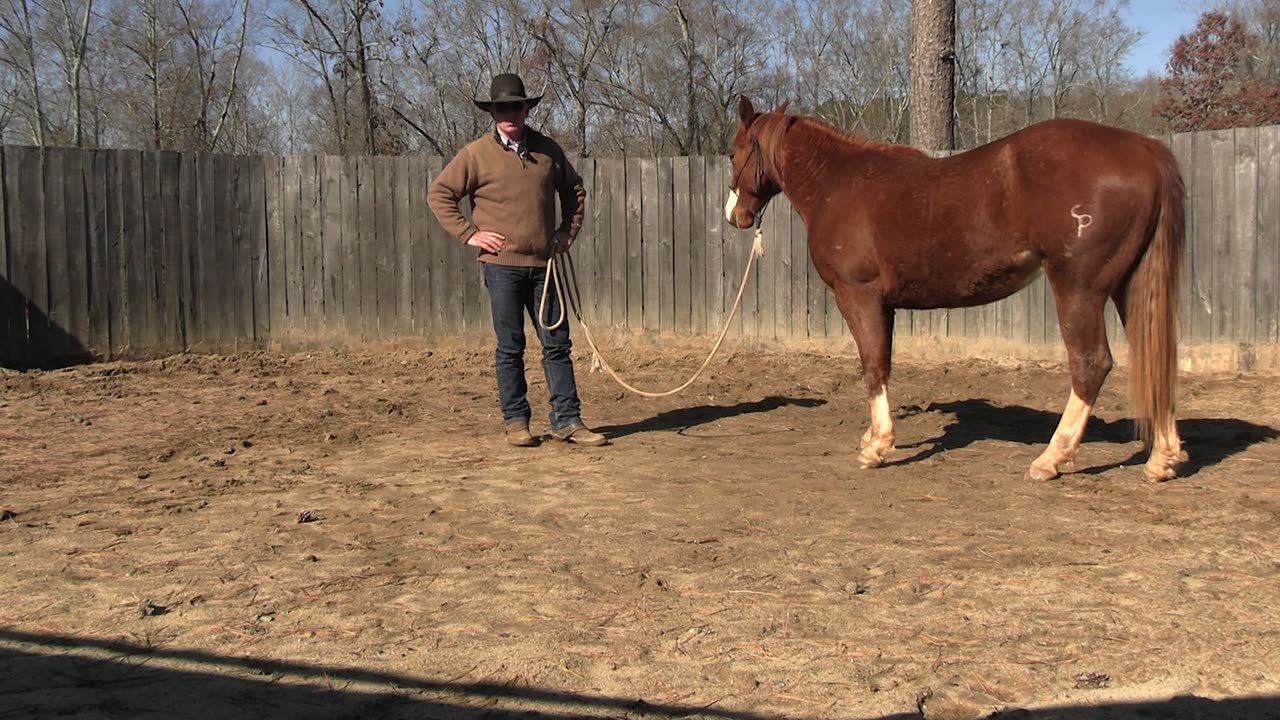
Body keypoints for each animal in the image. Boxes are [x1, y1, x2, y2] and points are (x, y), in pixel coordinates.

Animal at [727, 94, 1182, 476]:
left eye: (732, 152)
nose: (736, 215)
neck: (836, 181)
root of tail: (1145, 151)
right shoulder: (885, 305)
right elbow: (883, 363)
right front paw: (874, 437)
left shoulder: (858, 295)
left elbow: (872, 365)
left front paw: (877, 447)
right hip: (1130, 286)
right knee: (1154, 354)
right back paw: (1162, 458)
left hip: (1078, 289)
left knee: (1090, 363)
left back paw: (1052, 457)